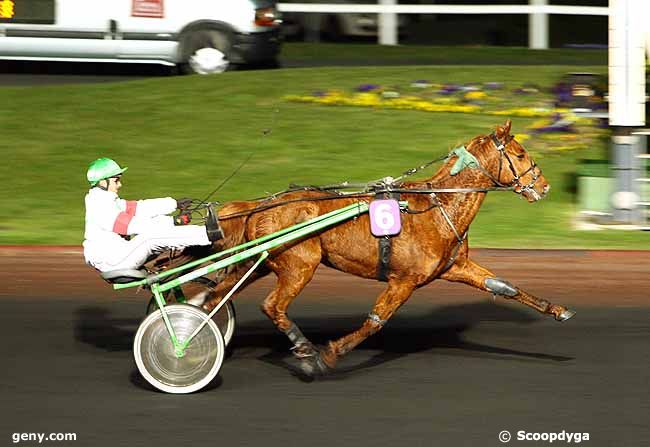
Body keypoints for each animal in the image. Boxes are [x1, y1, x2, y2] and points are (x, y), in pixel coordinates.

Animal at [202, 121, 572, 376]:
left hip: (260, 263)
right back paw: (304, 348)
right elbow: (376, 321)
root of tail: (261, 205)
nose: (543, 186)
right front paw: (327, 355)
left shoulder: (456, 267)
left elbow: (505, 286)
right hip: (300, 265)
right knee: (272, 306)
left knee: (215, 294)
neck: (438, 208)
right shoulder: (403, 281)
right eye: (521, 154)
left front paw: (557, 309)